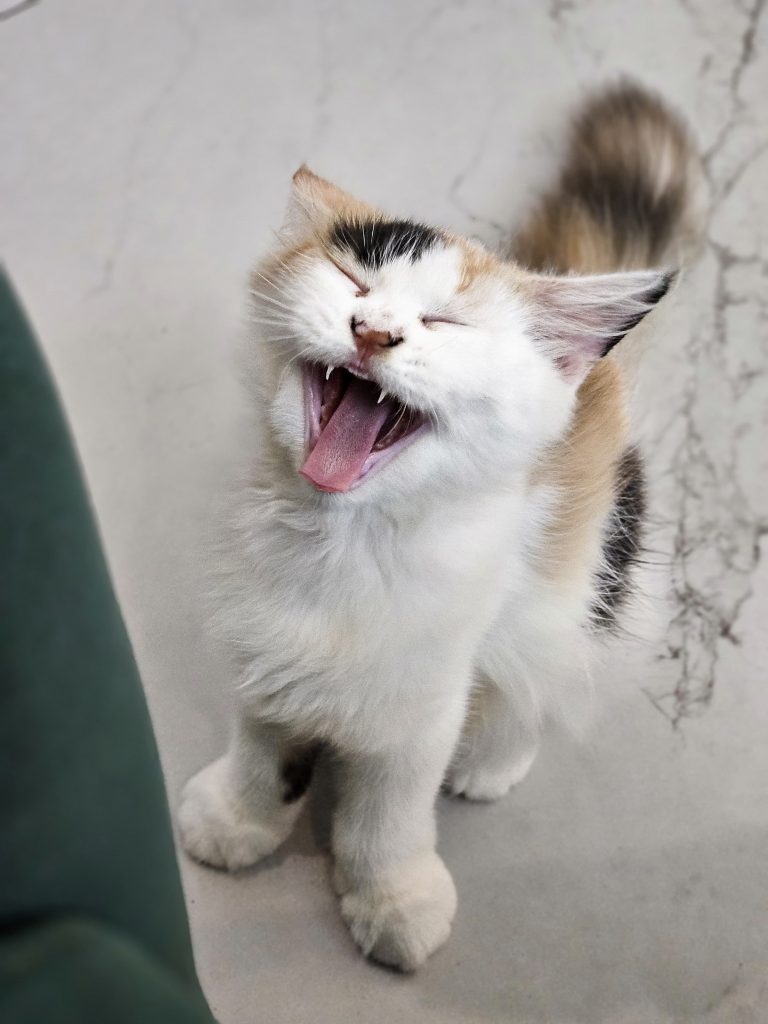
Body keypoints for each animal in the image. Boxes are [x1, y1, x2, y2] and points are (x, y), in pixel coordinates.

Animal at [179, 79, 704, 966]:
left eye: (445, 326)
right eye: (350, 280)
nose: (373, 332)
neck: (343, 543)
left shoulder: (424, 691)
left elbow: (387, 810)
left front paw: (394, 900)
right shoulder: (266, 651)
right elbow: (262, 752)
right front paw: (235, 821)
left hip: (574, 575)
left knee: (543, 672)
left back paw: (494, 760)